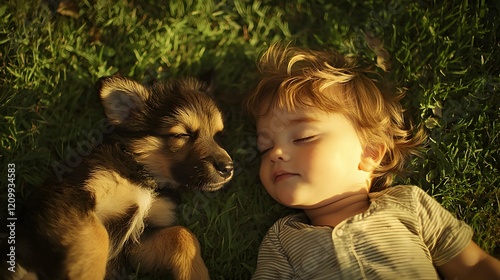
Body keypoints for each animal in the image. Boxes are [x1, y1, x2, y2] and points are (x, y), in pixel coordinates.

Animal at [9, 74, 232, 280]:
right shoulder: (71, 195)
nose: (228, 168)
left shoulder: (137, 243)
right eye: (182, 135)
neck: (144, 177)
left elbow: (183, 235)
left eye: (217, 135)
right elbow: (98, 235)